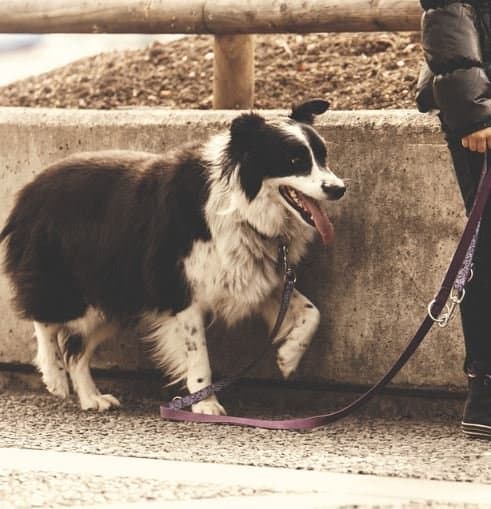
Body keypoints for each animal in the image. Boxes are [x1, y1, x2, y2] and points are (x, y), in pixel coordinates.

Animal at [0, 99, 346, 412]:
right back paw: (55, 376)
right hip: (73, 281)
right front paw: (205, 406)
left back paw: (91, 398)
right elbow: (199, 356)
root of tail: (27, 193)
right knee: (44, 319)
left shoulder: (254, 278)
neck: (241, 206)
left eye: (323, 157)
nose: (339, 189)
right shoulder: (181, 290)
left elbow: (312, 312)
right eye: (295, 160)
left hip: (116, 296)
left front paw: (288, 358)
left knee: (76, 349)